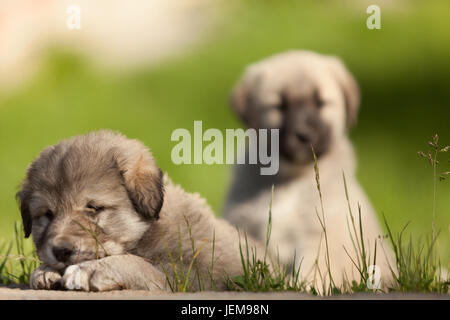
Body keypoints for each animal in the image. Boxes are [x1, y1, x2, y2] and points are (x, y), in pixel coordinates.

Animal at [18, 131, 264, 292]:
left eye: (94, 208)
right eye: (47, 214)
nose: (60, 251)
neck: (149, 229)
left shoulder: (191, 274)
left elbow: (139, 264)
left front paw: (88, 269)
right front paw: (44, 270)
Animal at [225, 50, 394, 290]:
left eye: (320, 102)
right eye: (279, 105)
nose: (303, 134)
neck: (293, 179)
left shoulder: (321, 234)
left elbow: (311, 273)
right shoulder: (248, 228)